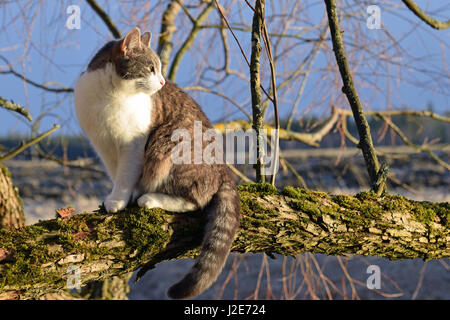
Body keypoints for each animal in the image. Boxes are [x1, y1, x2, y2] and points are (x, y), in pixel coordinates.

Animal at [73, 28, 241, 300]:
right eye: (151, 68)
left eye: (160, 69)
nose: (162, 82)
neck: (110, 96)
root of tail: (223, 171)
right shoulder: (103, 145)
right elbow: (116, 174)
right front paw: (118, 196)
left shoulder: (133, 145)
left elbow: (125, 176)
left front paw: (119, 201)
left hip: (169, 144)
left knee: (196, 200)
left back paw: (151, 198)